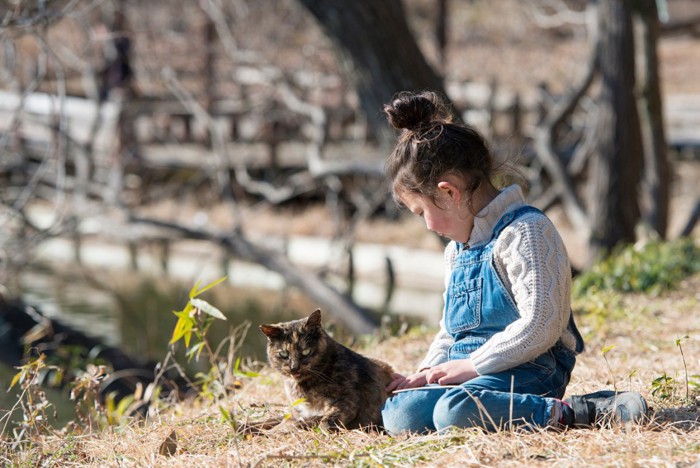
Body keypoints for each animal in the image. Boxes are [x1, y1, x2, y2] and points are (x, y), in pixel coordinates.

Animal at [260, 308, 396, 430]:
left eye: (306, 351)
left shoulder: (348, 402)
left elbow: (321, 421)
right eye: (283, 354)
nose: (294, 368)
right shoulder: (299, 411)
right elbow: (273, 420)